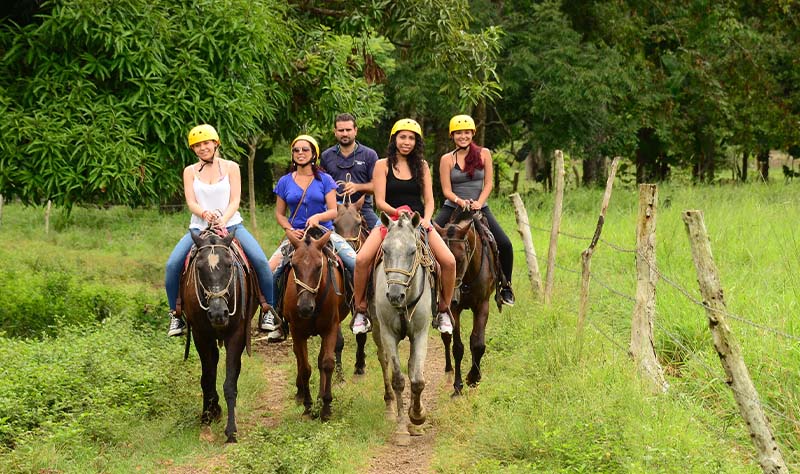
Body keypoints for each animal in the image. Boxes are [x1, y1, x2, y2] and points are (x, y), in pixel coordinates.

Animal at [177, 228, 258, 442]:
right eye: (199, 267)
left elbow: (230, 383)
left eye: (229, 265)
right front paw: (207, 418)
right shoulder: (201, 335)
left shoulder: (236, 335)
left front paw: (231, 430)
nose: (218, 313)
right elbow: (207, 378)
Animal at [282, 228, 346, 420]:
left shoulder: (330, 328)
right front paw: (308, 405)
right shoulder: (297, 332)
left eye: (319, 267)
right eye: (294, 266)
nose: (304, 307)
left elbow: (327, 364)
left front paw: (326, 406)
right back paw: (301, 394)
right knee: (299, 357)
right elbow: (304, 368)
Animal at [372, 211, 434, 444]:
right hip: (377, 330)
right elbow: (398, 379)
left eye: (412, 251)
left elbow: (417, 380)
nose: (394, 295)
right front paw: (401, 429)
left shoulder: (420, 333)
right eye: (385, 250)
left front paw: (417, 417)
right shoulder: (388, 334)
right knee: (384, 361)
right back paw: (390, 407)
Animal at [434, 208, 496, 396]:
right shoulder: (453, 310)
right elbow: (457, 347)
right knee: (446, 338)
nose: (453, 296)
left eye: (460, 260)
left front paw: (474, 378)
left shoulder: (482, 305)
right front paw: (458, 386)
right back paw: (448, 371)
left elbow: (478, 343)